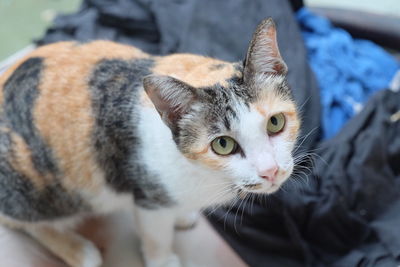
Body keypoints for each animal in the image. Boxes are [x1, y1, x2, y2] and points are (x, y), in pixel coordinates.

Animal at [0, 18, 298, 267]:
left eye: (275, 123)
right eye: (223, 145)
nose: (270, 171)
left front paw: (182, 215)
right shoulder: (149, 198)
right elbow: (156, 236)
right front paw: (162, 261)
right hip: (40, 191)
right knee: (18, 219)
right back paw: (79, 251)